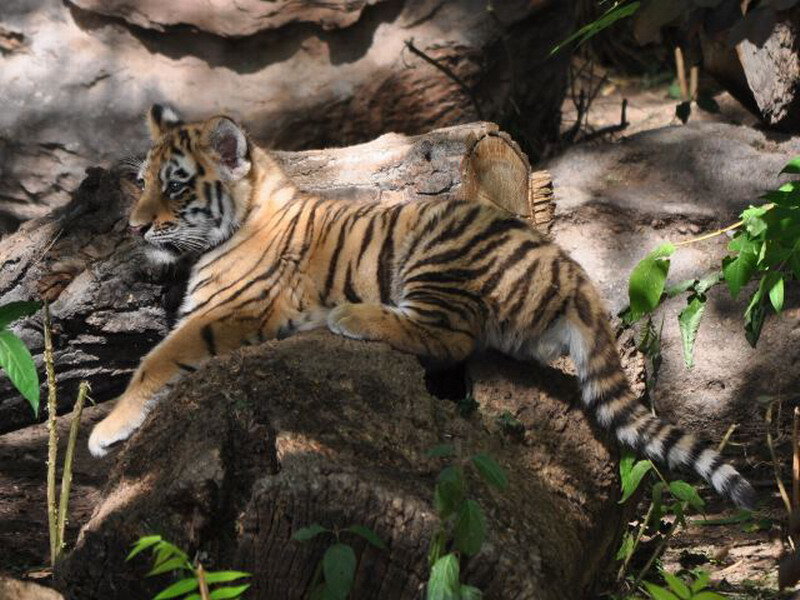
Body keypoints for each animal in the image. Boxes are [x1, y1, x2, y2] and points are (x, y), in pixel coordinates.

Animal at [88, 104, 755, 509]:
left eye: (175, 186)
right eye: (142, 181)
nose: (135, 226)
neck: (245, 214)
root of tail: (573, 273)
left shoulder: (230, 314)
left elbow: (155, 362)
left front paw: (106, 430)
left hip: (434, 250)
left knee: (453, 337)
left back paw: (350, 318)